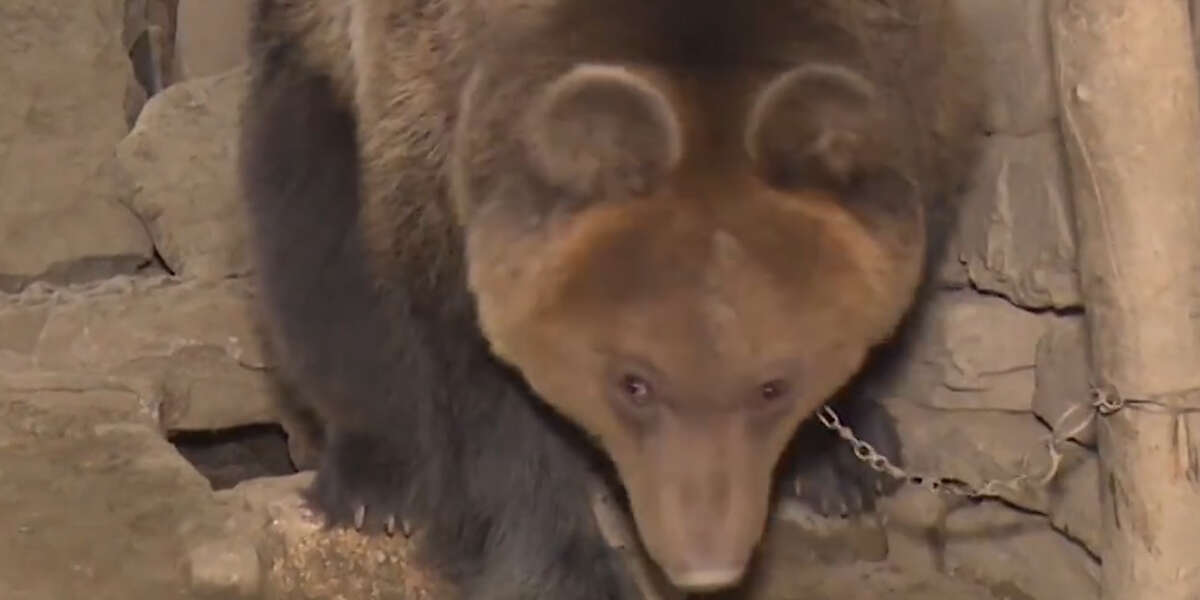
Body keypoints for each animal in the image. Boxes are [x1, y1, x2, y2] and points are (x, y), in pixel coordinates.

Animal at [238, 0, 982, 598]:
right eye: (633, 384)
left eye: (774, 385)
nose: (704, 561)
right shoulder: (432, 116)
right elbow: (479, 384)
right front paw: (561, 570)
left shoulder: (920, 77)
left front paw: (842, 461)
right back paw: (375, 479)